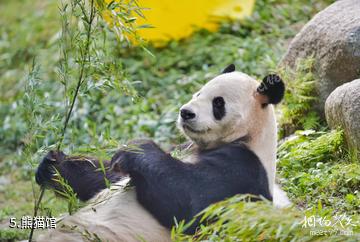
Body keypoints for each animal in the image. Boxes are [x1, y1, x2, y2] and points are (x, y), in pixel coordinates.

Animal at [34, 65, 286, 242]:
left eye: (218, 103)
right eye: (198, 93)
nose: (186, 113)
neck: (248, 136)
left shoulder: (242, 168)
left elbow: (192, 201)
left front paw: (137, 148)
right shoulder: (183, 149)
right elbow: (105, 178)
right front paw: (54, 165)